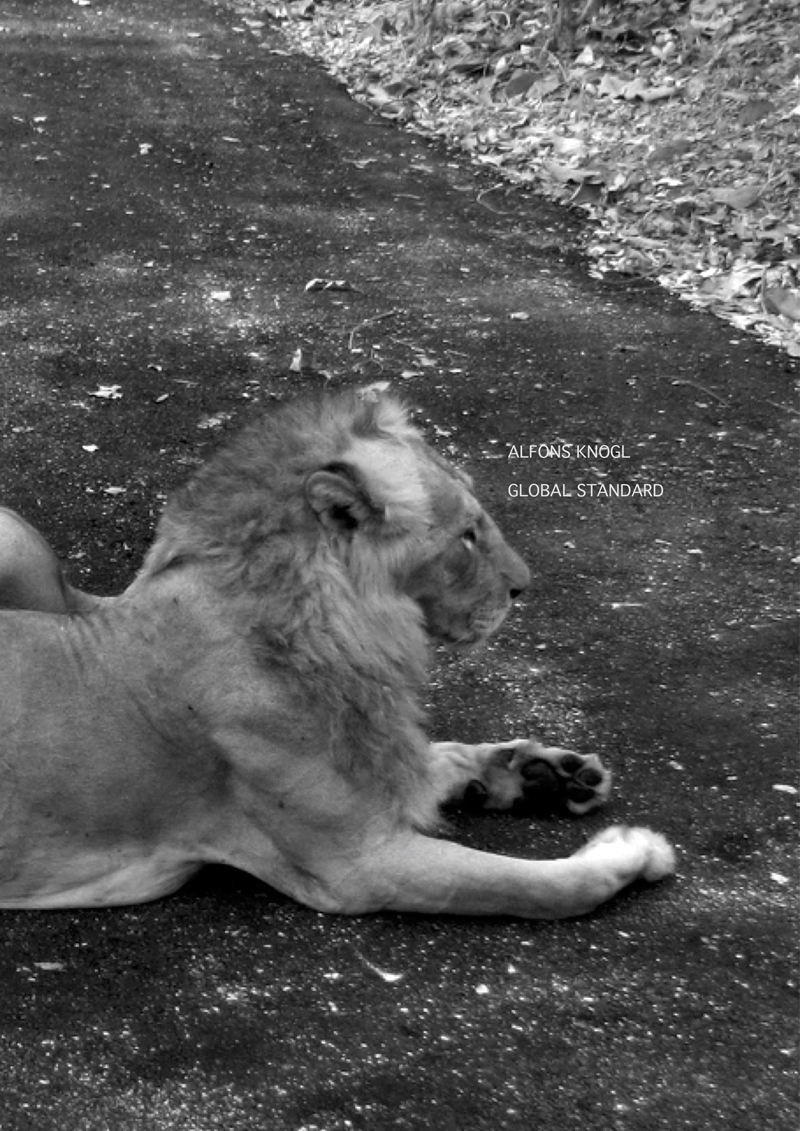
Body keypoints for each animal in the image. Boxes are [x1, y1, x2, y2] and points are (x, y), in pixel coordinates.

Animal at [0, 391, 675, 917]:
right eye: (465, 536)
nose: (523, 586)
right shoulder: (358, 867)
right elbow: (533, 888)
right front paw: (632, 852)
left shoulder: (378, 763)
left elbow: (442, 756)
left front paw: (542, 773)